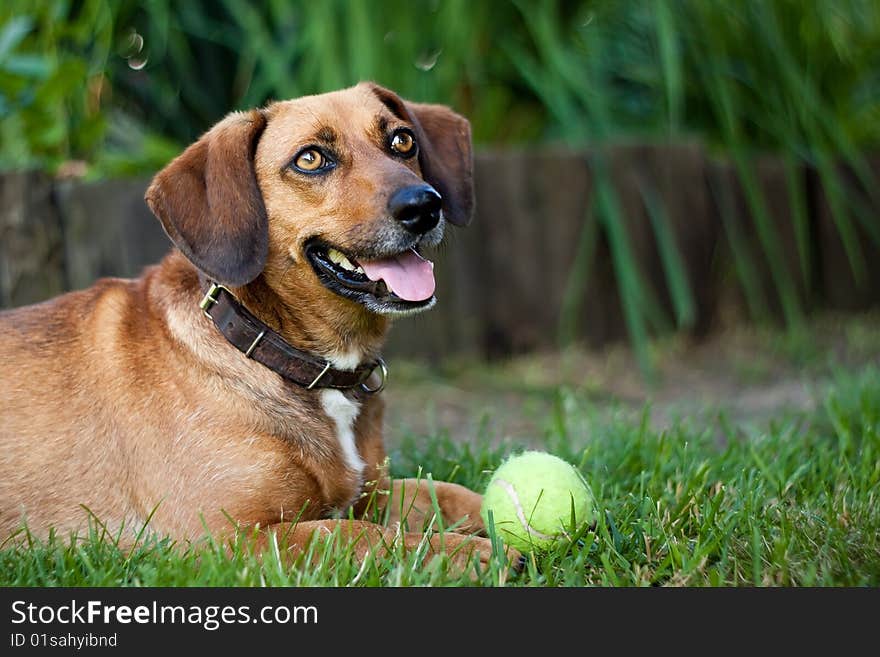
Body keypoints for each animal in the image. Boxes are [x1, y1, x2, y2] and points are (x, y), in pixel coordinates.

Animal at [0, 82, 516, 572]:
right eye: (311, 159)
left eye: (403, 140)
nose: (424, 205)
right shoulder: (223, 539)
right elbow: (359, 536)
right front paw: (474, 553)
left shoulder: (375, 493)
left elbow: (451, 493)